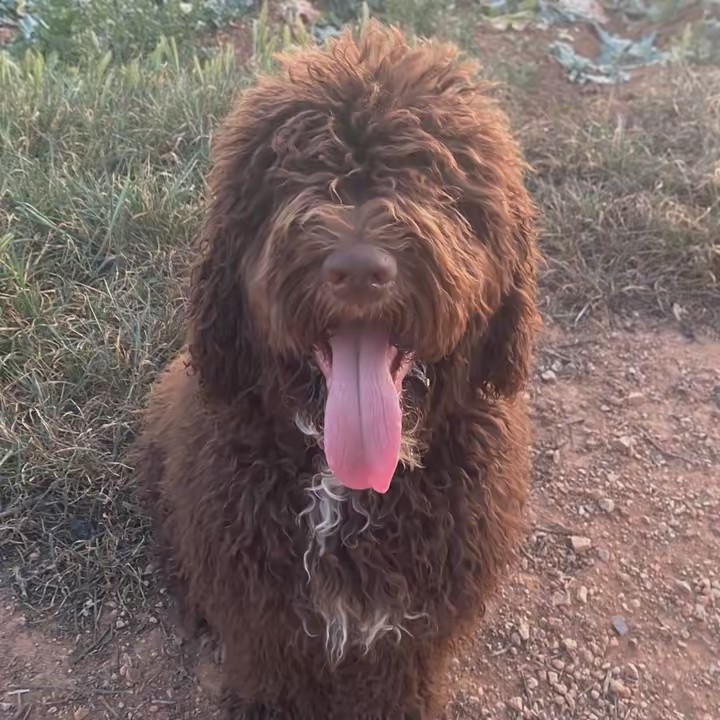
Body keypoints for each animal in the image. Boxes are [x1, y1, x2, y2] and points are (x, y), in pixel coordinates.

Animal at [132, 20, 539, 720]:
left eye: (431, 174)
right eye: (295, 172)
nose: (357, 268)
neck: (346, 483)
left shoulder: (413, 636)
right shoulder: (264, 623)